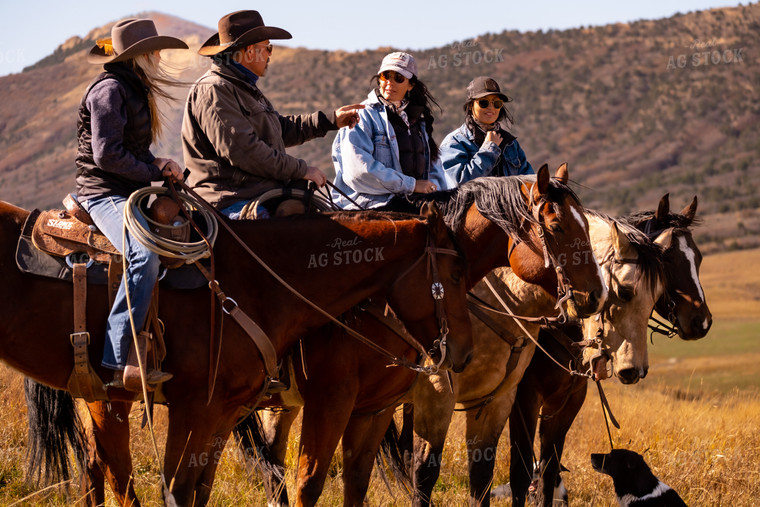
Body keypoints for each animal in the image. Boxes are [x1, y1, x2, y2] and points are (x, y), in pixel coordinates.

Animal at [4, 200, 476, 506]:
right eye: (455, 274)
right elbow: (187, 490)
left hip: (97, 398)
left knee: (99, 474)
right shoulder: (208, 406)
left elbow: (202, 490)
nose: (466, 354)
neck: (257, 282)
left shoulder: (227, 412)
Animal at [229, 165, 608, 506]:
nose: (595, 296)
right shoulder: (431, 396)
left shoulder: (494, 399)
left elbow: (481, 477)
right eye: (556, 226)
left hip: (285, 402)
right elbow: (424, 472)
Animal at [508, 193, 708, 507]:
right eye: (668, 259)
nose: (703, 322)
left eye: (698, 257)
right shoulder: (522, 397)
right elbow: (522, 472)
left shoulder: (567, 401)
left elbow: (549, 472)